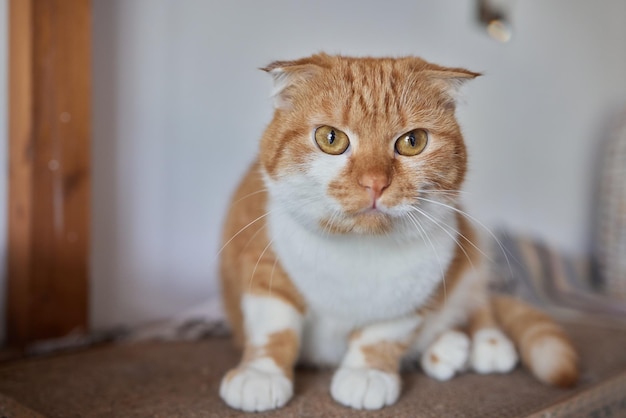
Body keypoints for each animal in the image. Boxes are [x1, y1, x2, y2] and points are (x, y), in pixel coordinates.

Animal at [216, 53, 576, 412]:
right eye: (330, 138)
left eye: (412, 141)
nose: (375, 183)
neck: (358, 250)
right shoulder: (262, 265)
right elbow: (273, 327)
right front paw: (260, 374)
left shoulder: (412, 295)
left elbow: (382, 334)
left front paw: (367, 373)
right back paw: (447, 348)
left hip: (471, 251)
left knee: (478, 301)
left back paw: (487, 344)